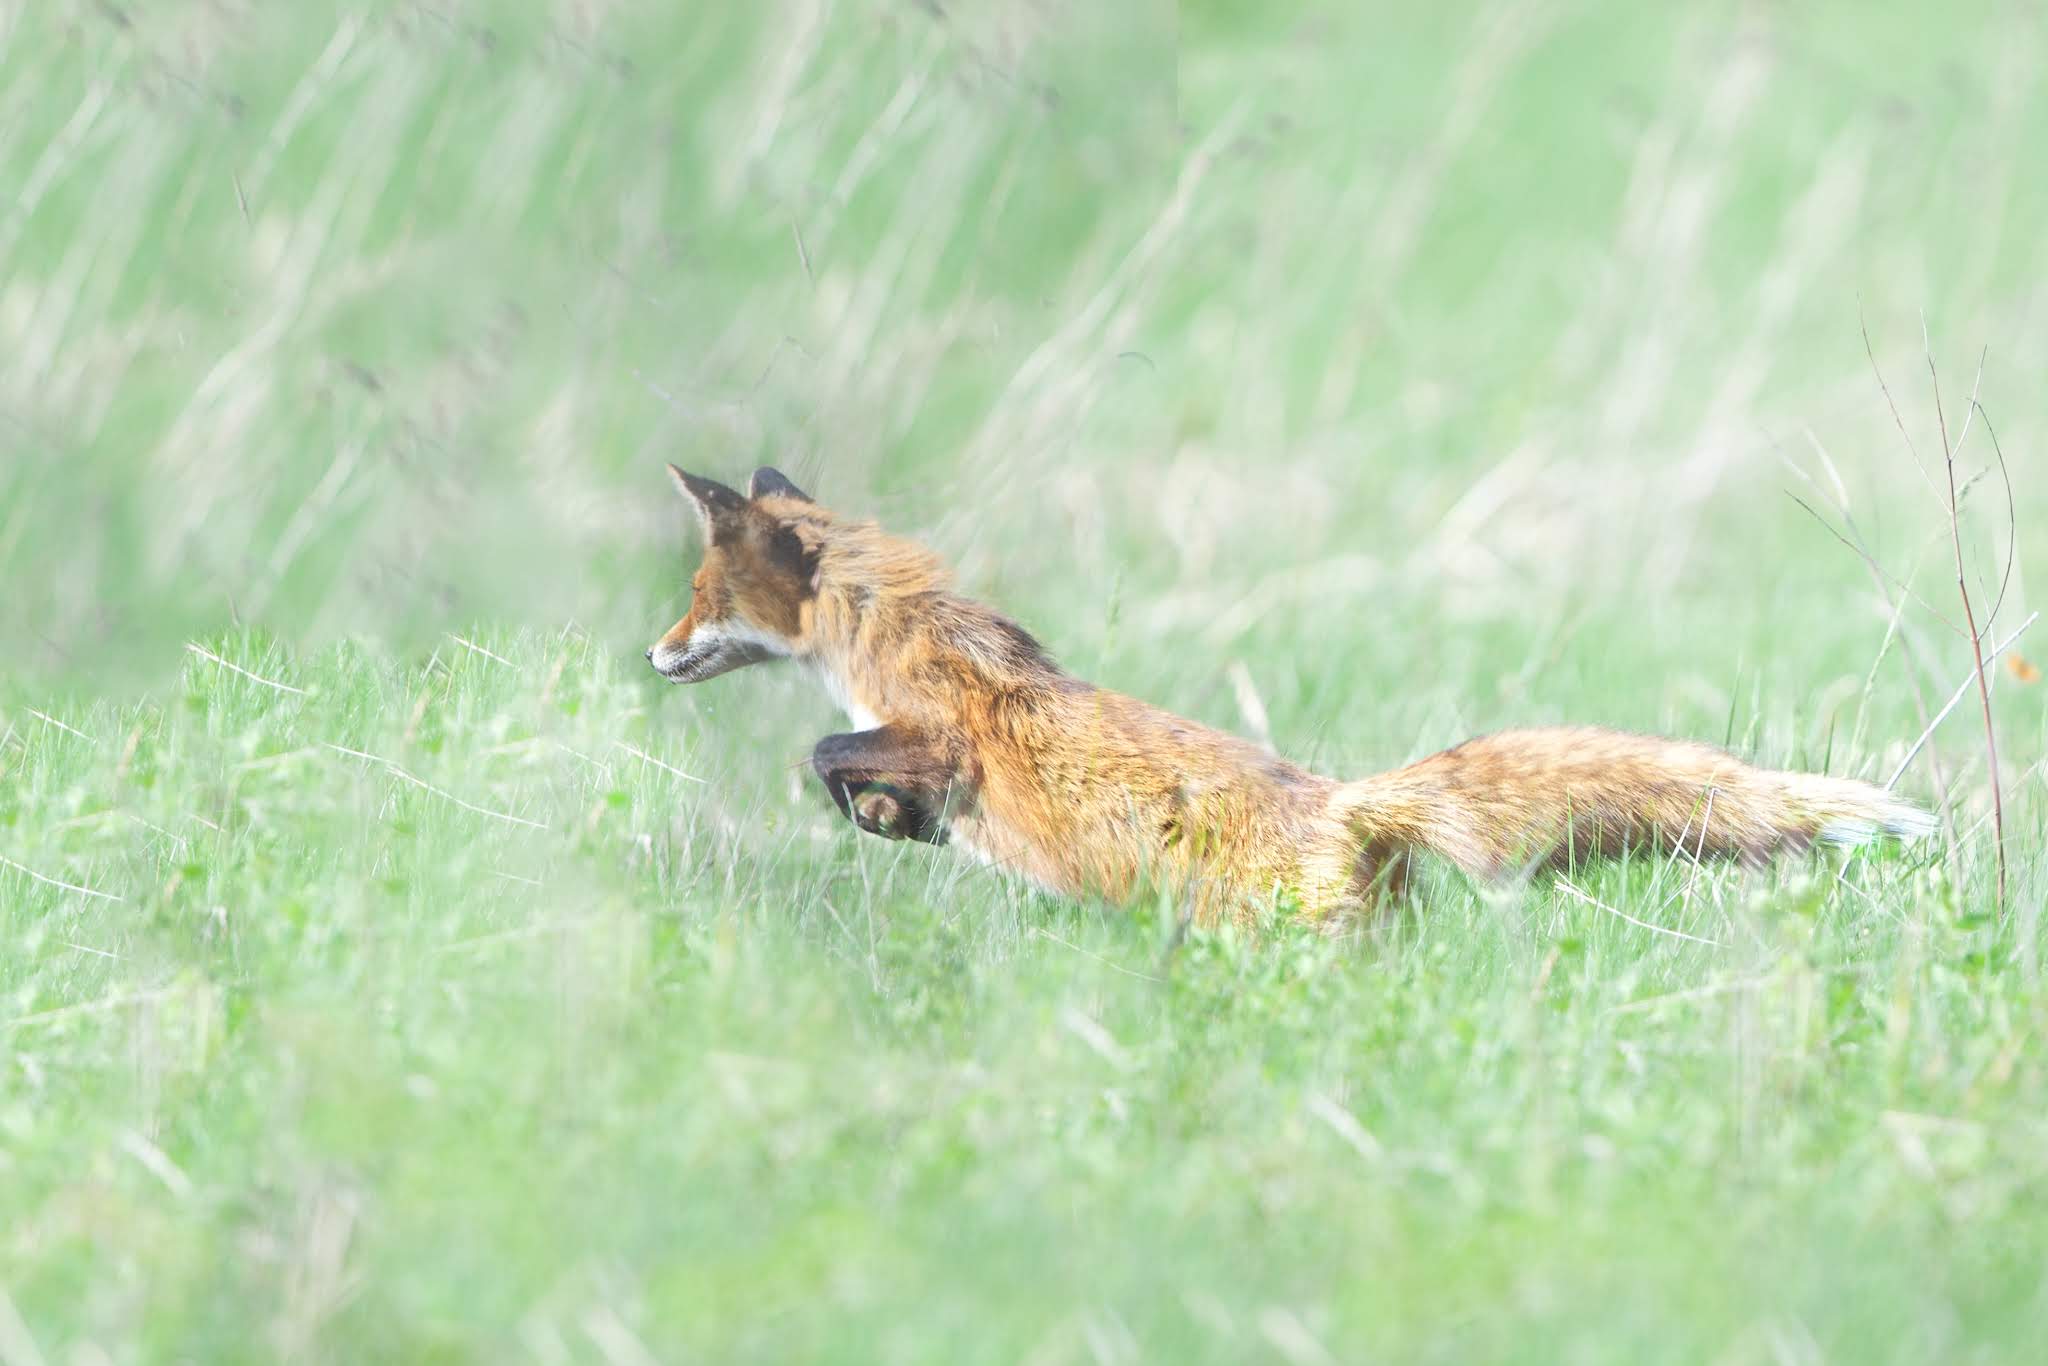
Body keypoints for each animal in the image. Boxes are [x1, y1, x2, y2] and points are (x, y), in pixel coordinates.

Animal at [647, 465, 1935, 925]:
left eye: (698, 594)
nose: (653, 655)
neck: (894, 635)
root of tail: (1346, 804)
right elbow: (833, 754)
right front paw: (889, 823)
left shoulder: (938, 737)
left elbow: (829, 752)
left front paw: (884, 818)